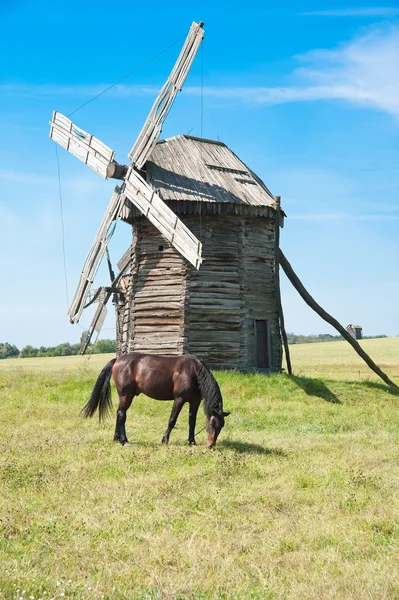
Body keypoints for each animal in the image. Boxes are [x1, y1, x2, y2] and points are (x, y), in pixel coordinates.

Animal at [82, 354, 231, 448]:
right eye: (212, 423)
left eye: (221, 426)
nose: (211, 445)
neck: (193, 372)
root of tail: (118, 359)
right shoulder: (179, 399)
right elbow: (172, 420)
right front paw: (164, 440)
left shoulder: (195, 401)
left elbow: (192, 422)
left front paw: (192, 442)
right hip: (125, 395)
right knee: (122, 414)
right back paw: (124, 441)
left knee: (119, 413)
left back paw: (116, 438)